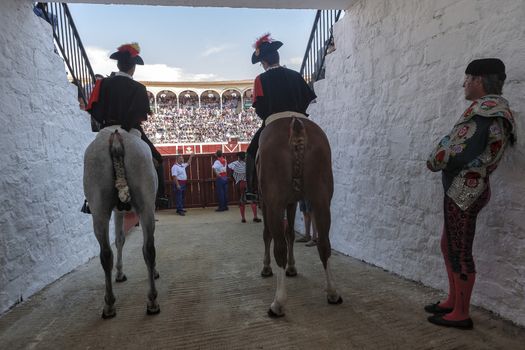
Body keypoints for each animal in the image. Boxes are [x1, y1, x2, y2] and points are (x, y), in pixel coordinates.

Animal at [256, 112, 342, 318]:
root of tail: (296, 126)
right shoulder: (292, 202)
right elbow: (291, 233)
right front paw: (292, 266)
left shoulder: (268, 202)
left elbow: (269, 235)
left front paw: (267, 267)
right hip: (321, 199)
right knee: (324, 243)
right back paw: (332, 293)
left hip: (274, 204)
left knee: (279, 246)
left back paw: (278, 303)